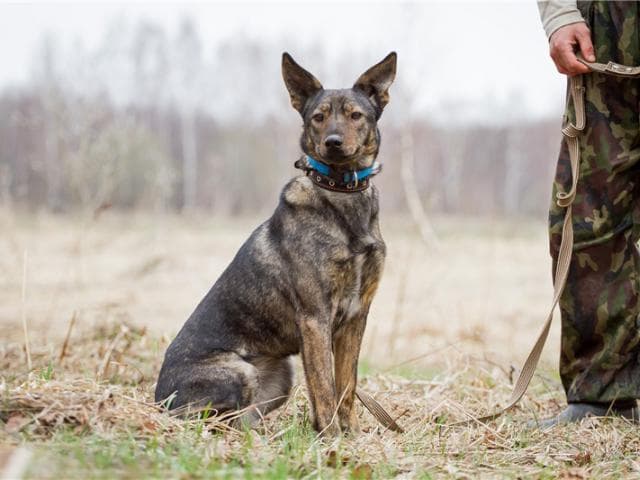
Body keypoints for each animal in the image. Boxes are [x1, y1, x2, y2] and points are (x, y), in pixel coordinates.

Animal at [155, 51, 396, 436]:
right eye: (318, 117)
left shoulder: (356, 315)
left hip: (280, 375)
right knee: (212, 420)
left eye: (355, 115)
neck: (341, 194)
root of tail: (157, 401)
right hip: (238, 372)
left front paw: (352, 434)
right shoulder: (315, 318)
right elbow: (324, 387)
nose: (332, 142)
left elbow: (346, 385)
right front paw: (331, 437)